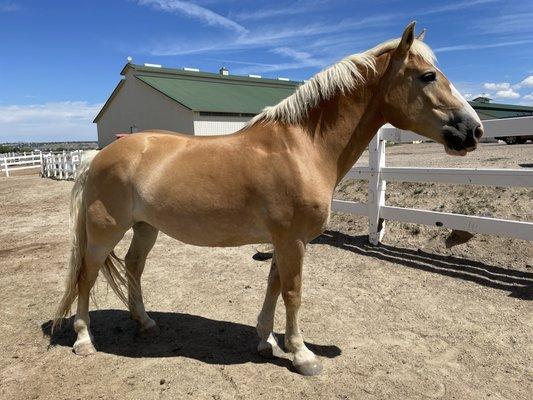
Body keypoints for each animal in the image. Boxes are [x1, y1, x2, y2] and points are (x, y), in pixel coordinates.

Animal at [53, 23, 482, 376]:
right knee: (87, 275)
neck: (301, 146)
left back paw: (144, 322)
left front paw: (266, 340)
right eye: (428, 76)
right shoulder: (292, 240)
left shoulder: (283, 240)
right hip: (104, 231)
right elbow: (292, 291)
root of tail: (97, 156)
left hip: (145, 228)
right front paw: (302, 354)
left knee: (133, 267)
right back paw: (84, 340)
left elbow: (274, 284)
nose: (474, 130)